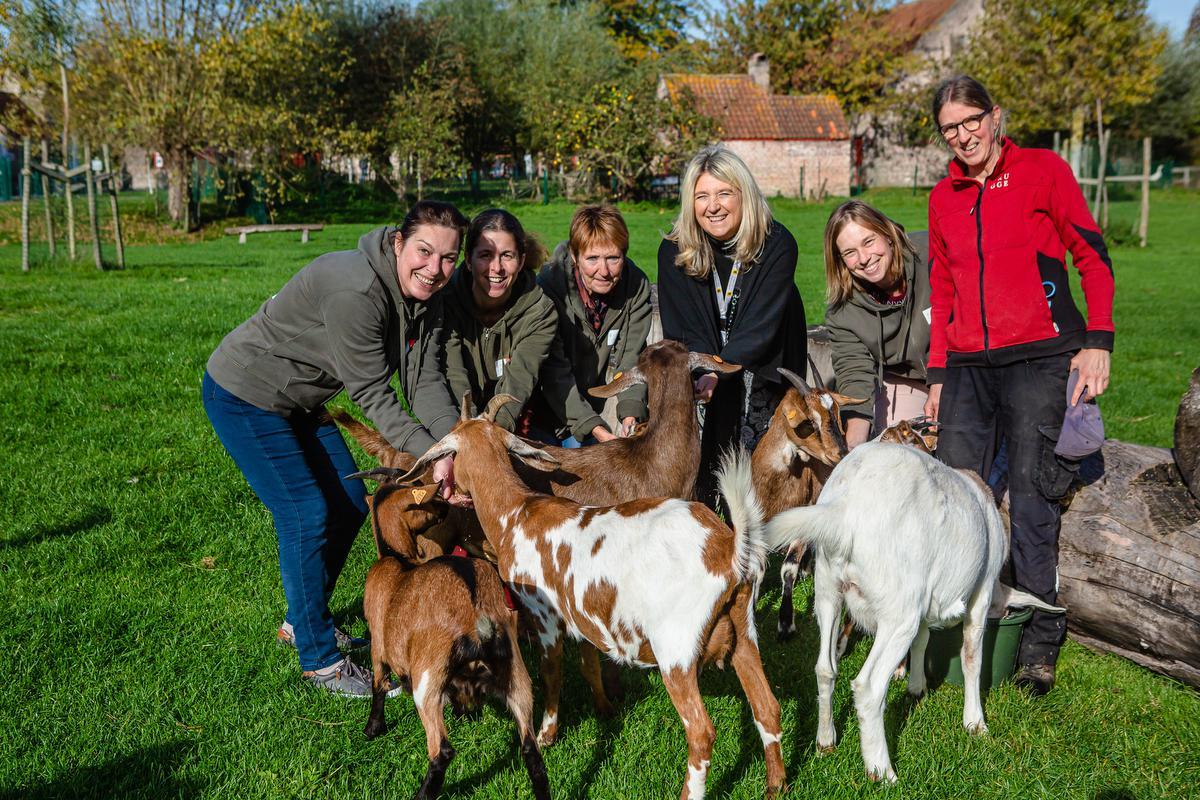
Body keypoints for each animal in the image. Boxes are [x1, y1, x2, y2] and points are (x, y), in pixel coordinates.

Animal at [355, 482, 544, 800]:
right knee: (532, 750)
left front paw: (372, 729)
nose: (446, 505)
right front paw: (463, 713)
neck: (398, 560)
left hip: (427, 680)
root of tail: (476, 618)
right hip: (517, 674)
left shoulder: (378, 644)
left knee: (442, 751)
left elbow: (378, 684)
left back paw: (421, 794)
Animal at [768, 441, 1060, 786]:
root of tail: (846, 509)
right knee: (868, 687)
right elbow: (971, 657)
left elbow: (922, 640)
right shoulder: (982, 592)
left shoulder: (924, 599)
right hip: (898, 609)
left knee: (825, 668)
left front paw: (916, 687)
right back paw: (882, 771)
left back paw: (826, 741)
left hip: (829, 589)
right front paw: (975, 723)